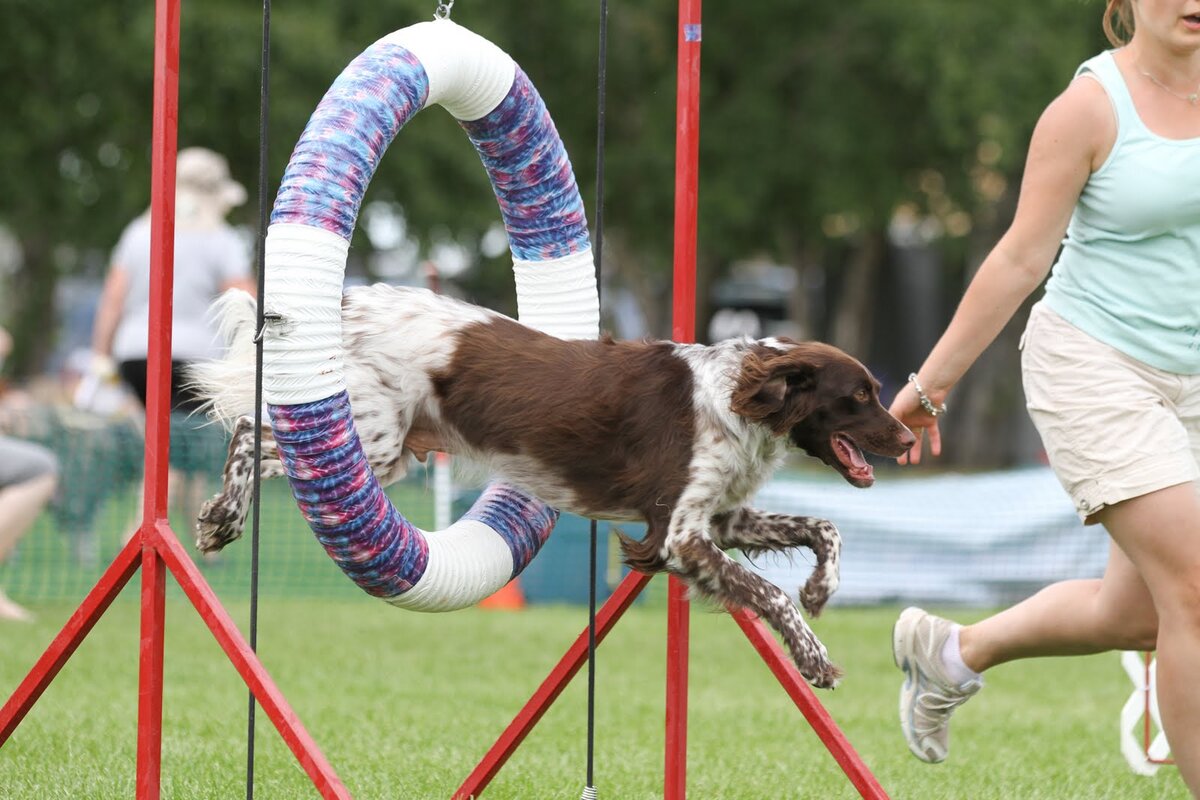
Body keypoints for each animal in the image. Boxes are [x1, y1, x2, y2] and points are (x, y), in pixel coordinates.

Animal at [192, 287, 912, 690]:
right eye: (859, 396)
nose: (909, 436)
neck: (735, 398)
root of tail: (346, 303)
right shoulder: (676, 535)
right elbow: (768, 593)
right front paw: (814, 658)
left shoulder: (718, 517)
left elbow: (824, 529)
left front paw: (821, 588)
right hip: (372, 440)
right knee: (252, 431)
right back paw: (222, 518)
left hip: (388, 450)